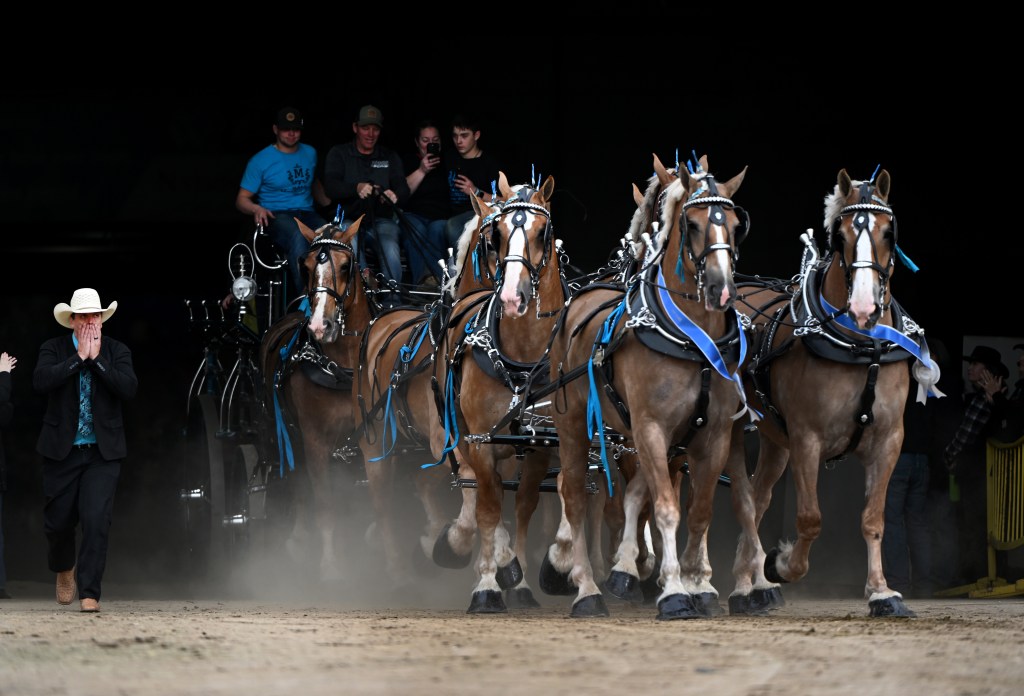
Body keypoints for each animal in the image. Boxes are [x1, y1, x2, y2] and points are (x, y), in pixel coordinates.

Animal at [258, 215, 374, 581]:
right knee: (296, 482)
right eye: (306, 266)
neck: (342, 369)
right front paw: (330, 565)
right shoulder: (314, 440)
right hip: (282, 431)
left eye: (346, 264)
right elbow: (324, 502)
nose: (320, 325)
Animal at [544, 154, 753, 618]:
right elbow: (664, 508)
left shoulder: (711, 435)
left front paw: (697, 582)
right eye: (691, 224)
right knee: (574, 495)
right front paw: (672, 588)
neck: (692, 342)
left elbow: (697, 510)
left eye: (735, 224)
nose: (721, 288)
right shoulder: (650, 429)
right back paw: (585, 587)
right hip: (571, 426)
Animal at [724, 166, 937, 614]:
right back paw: (745, 584)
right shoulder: (807, 439)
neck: (862, 347)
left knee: (759, 497)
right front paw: (781, 564)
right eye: (839, 236)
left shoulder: (889, 440)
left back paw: (751, 580)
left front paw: (881, 592)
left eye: (889, 232)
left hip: (776, 441)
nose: (863, 307)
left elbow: (873, 519)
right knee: (743, 501)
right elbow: (810, 519)